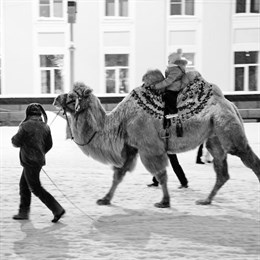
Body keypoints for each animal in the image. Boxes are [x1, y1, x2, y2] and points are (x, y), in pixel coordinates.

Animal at [53, 70, 260, 208]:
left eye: (71, 96)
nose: (55, 99)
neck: (120, 121)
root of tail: (230, 104)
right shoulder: (131, 147)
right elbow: (118, 174)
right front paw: (104, 199)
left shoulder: (149, 147)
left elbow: (160, 174)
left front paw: (164, 202)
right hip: (214, 137)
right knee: (222, 171)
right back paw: (206, 200)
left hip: (227, 130)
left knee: (248, 159)